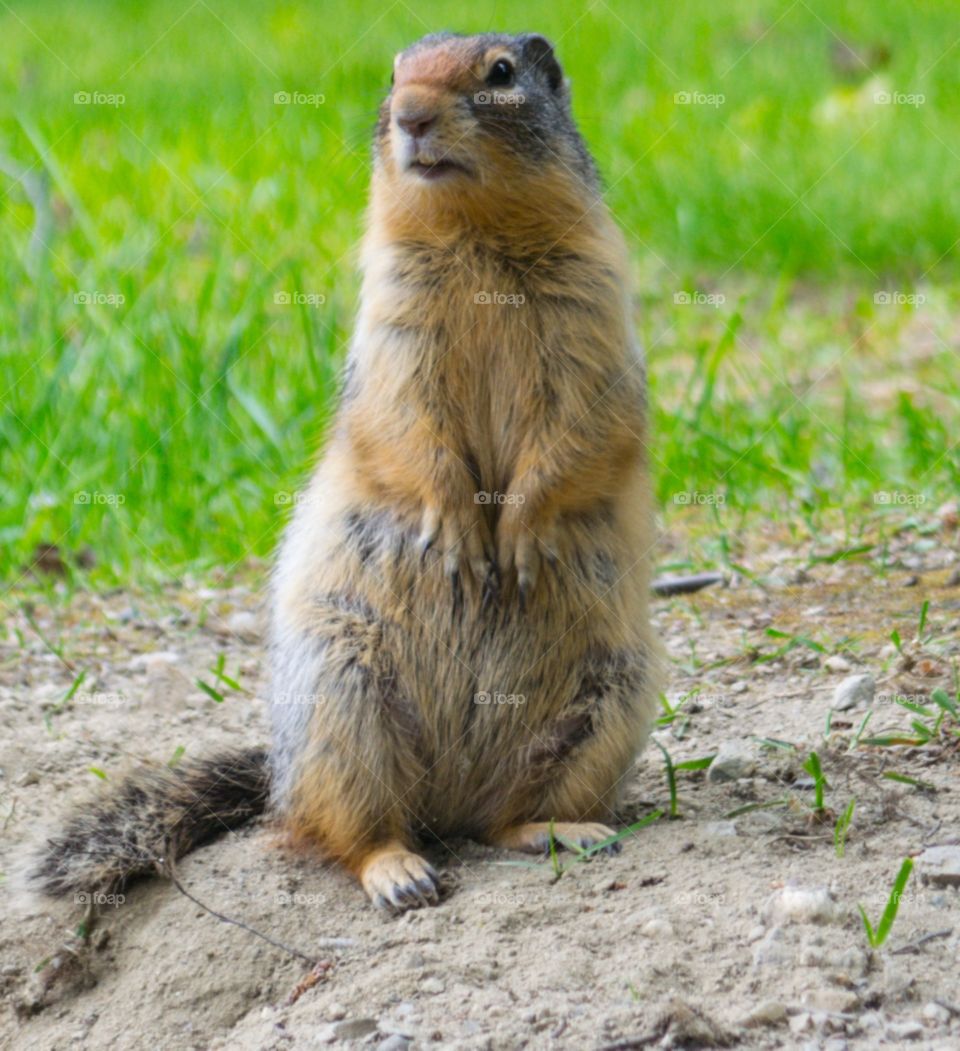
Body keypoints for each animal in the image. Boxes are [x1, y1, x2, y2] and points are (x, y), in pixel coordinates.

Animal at [28, 32, 660, 916]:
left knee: (500, 817)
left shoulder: (594, 303)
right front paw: (461, 530)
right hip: (341, 694)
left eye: (501, 72)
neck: (476, 237)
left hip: (613, 694)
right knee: (343, 830)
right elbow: (406, 422)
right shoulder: (392, 321)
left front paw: (520, 533)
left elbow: (581, 426)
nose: (412, 115)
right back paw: (398, 870)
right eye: (394, 75)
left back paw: (560, 829)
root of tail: (448, 800)